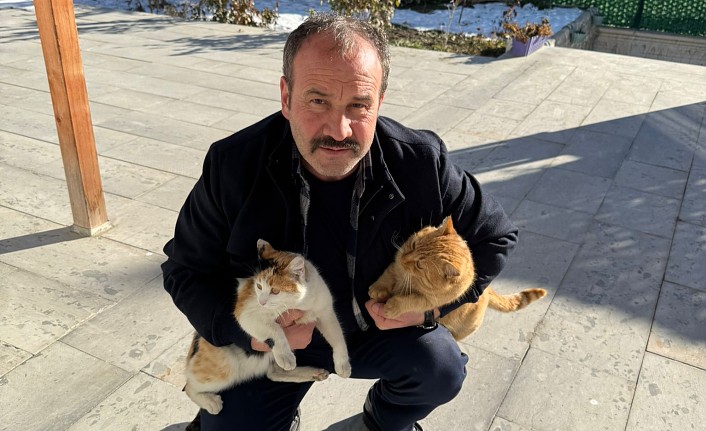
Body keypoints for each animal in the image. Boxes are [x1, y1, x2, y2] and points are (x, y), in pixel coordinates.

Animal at [183, 239, 351, 415]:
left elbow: (338, 337)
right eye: (258, 286)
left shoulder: (325, 311)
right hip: (224, 367)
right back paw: (210, 402)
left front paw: (343, 365)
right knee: (189, 386)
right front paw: (285, 356)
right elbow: (275, 329)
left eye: (275, 291)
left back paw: (314, 373)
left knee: (273, 373)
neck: (298, 303)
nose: (262, 302)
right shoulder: (246, 313)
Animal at [368, 216, 546, 341]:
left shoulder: (428, 301)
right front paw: (378, 289)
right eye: (413, 246)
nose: (404, 258)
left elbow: (410, 301)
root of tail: (487, 291)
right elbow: (388, 275)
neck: (412, 279)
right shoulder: (395, 266)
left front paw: (392, 306)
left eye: (419, 265)